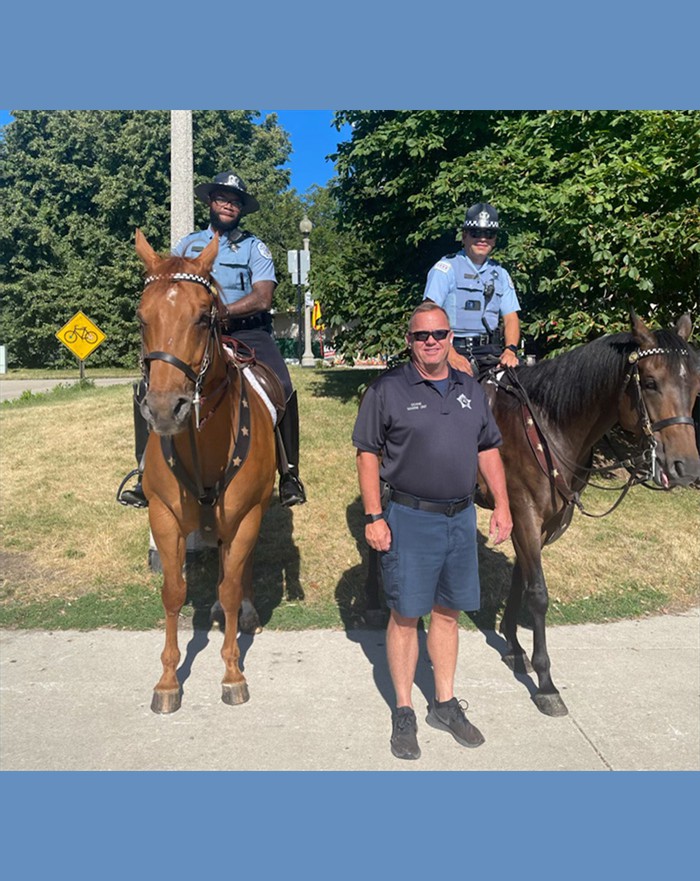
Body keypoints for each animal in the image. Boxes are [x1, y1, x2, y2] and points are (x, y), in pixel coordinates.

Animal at [134, 229, 276, 716]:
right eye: (142, 318)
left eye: (201, 318)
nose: (164, 409)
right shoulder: (163, 515)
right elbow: (173, 592)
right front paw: (166, 681)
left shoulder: (246, 515)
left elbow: (231, 586)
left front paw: (232, 673)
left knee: (239, 570)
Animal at [364, 314, 696, 716]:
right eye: (649, 382)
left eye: (694, 384)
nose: (685, 466)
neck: (551, 427)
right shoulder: (524, 511)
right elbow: (537, 593)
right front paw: (545, 681)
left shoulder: (542, 520)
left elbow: (521, 577)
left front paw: (513, 646)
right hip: (381, 480)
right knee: (374, 532)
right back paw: (372, 603)